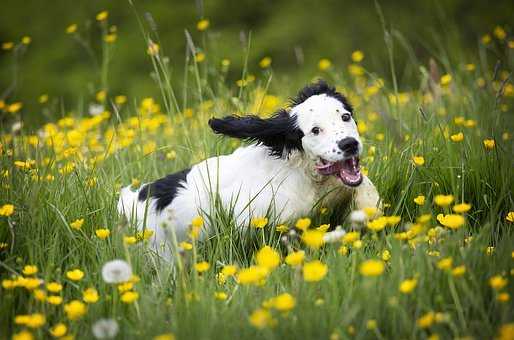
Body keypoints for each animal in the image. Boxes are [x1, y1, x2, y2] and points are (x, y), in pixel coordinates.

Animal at [118, 79, 378, 256]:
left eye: (345, 116)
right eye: (315, 130)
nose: (349, 144)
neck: (301, 173)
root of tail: (133, 199)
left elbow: (363, 187)